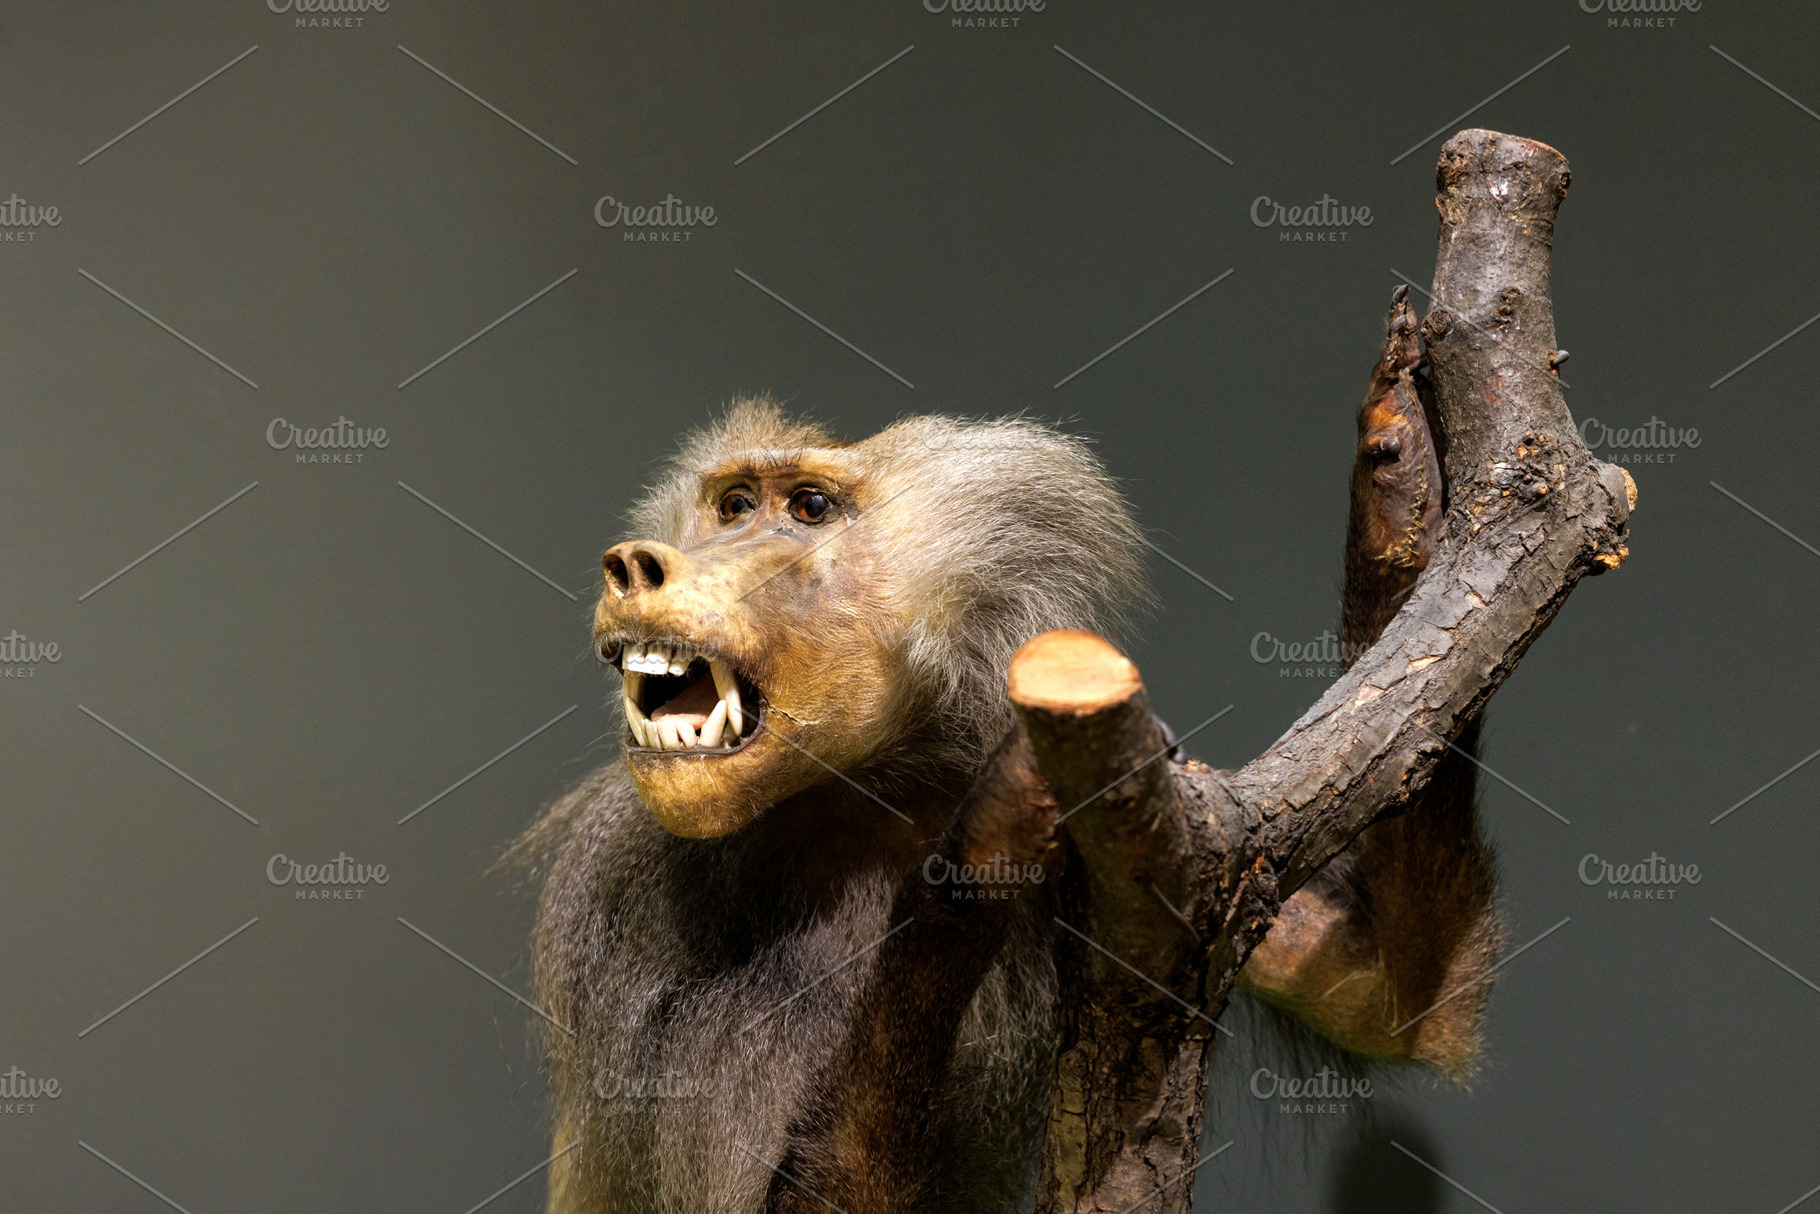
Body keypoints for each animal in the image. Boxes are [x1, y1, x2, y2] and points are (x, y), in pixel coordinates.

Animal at [509, 290, 1502, 1212]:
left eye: (808, 508)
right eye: (732, 507)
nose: (637, 565)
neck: (869, 794)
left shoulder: (1177, 823)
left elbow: (1405, 1008)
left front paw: (1399, 470)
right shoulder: (622, 871)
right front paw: (980, 856)